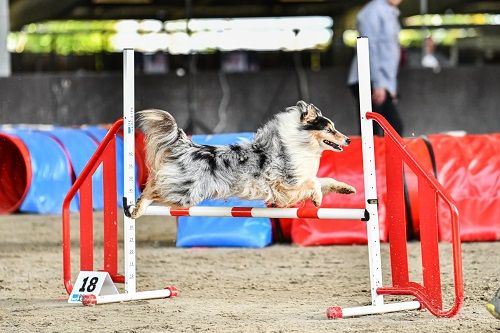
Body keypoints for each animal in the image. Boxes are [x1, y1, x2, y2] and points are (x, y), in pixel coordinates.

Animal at [129, 100, 356, 218]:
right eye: (329, 129)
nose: (348, 140)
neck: (299, 144)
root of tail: (187, 146)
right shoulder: (286, 187)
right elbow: (314, 183)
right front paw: (317, 198)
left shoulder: (297, 180)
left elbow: (325, 179)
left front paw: (347, 188)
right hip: (185, 193)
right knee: (152, 188)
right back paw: (136, 209)